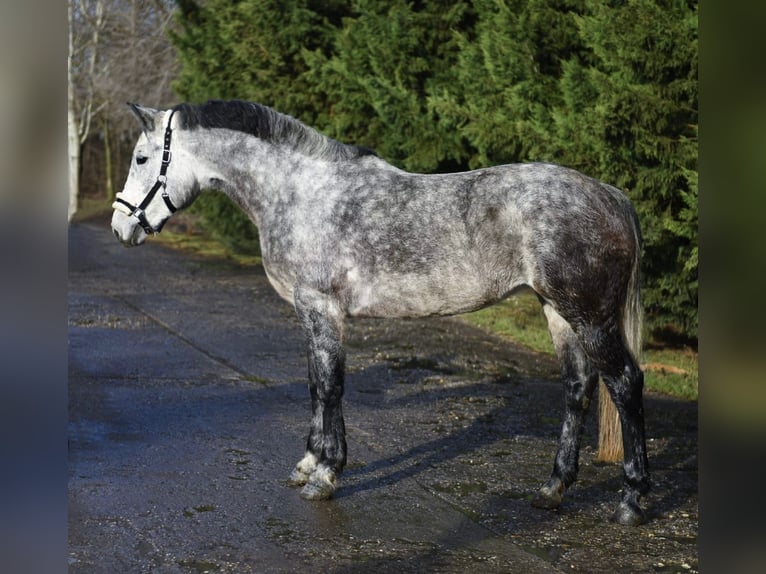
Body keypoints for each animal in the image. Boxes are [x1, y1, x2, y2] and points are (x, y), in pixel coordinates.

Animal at [111, 99, 650, 526]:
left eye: (141, 157)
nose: (120, 227)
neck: (300, 194)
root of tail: (612, 196)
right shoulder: (311, 313)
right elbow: (316, 385)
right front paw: (308, 464)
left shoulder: (322, 308)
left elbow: (330, 387)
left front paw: (326, 475)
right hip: (557, 311)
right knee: (578, 387)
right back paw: (553, 489)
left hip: (590, 316)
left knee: (625, 383)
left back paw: (632, 500)